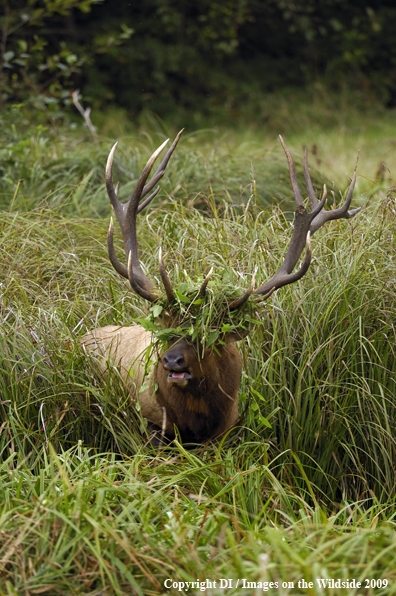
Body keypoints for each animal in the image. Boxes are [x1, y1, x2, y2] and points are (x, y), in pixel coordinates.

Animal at [80, 133, 358, 444]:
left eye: (209, 333)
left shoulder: (230, 426)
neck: (197, 421)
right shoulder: (151, 422)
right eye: (167, 329)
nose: (172, 361)